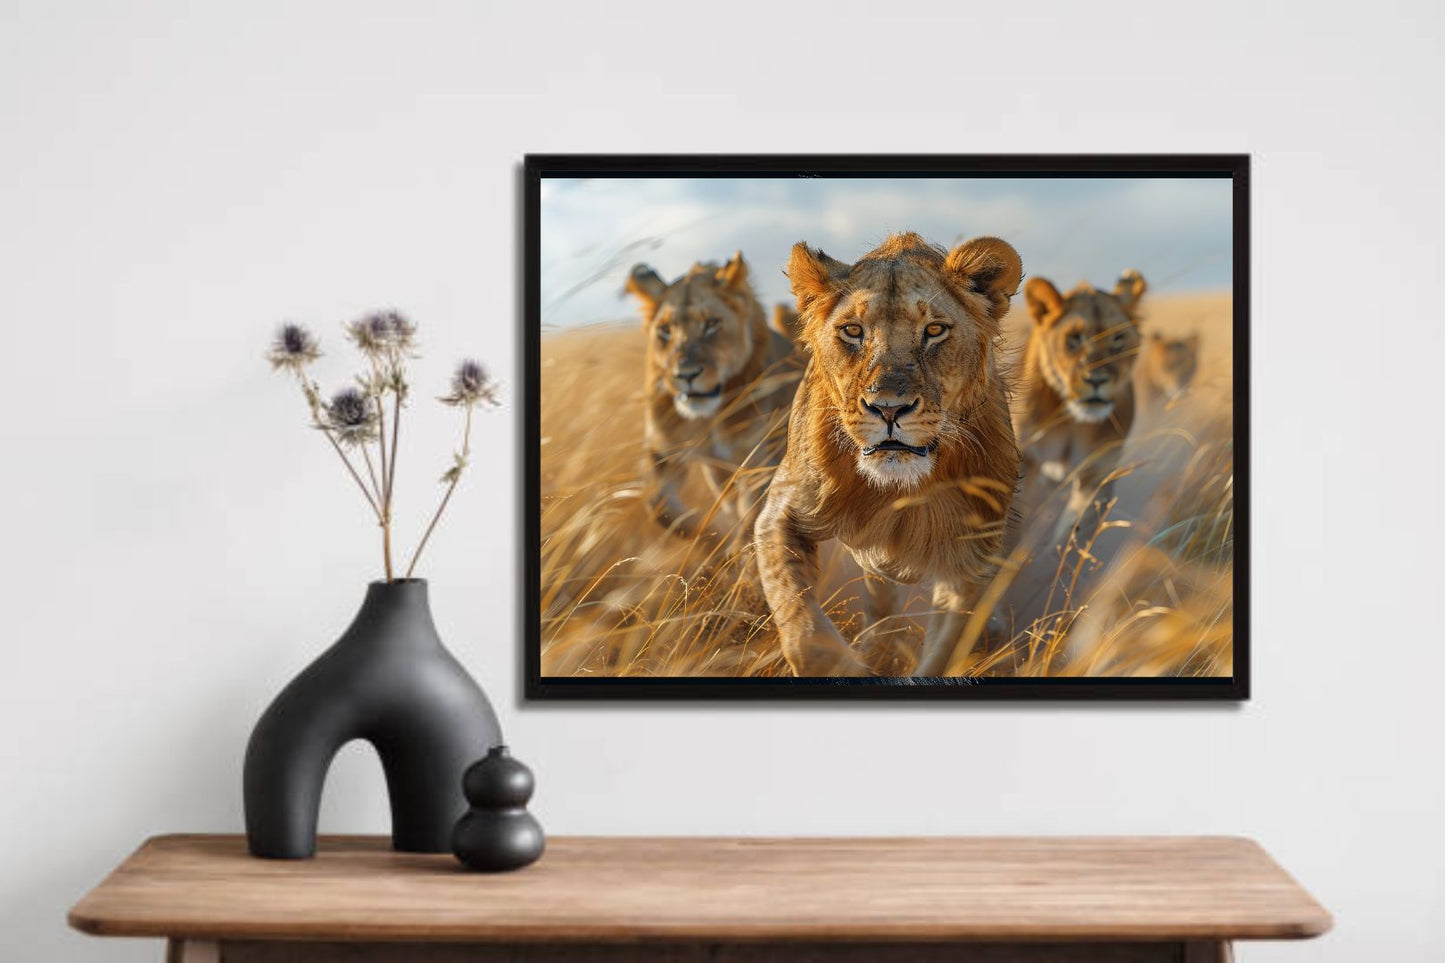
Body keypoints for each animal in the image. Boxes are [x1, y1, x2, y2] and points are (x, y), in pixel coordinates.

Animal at [625, 252, 802, 544]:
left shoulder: (761, 462)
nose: (686, 374)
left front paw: (736, 548)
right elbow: (659, 505)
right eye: (664, 330)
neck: (707, 418)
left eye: (711, 324)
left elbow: (751, 520)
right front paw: (712, 539)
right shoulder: (664, 452)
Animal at [754, 232, 1023, 677]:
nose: (889, 409)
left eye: (934, 330)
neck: (896, 489)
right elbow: (805, 632)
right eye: (852, 330)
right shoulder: (782, 511)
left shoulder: (969, 560)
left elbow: (945, 650)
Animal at [1014, 270, 1147, 525]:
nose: (1096, 380)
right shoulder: (1026, 462)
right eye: (1074, 338)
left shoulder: (1097, 473)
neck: (1073, 421)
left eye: (1118, 338)